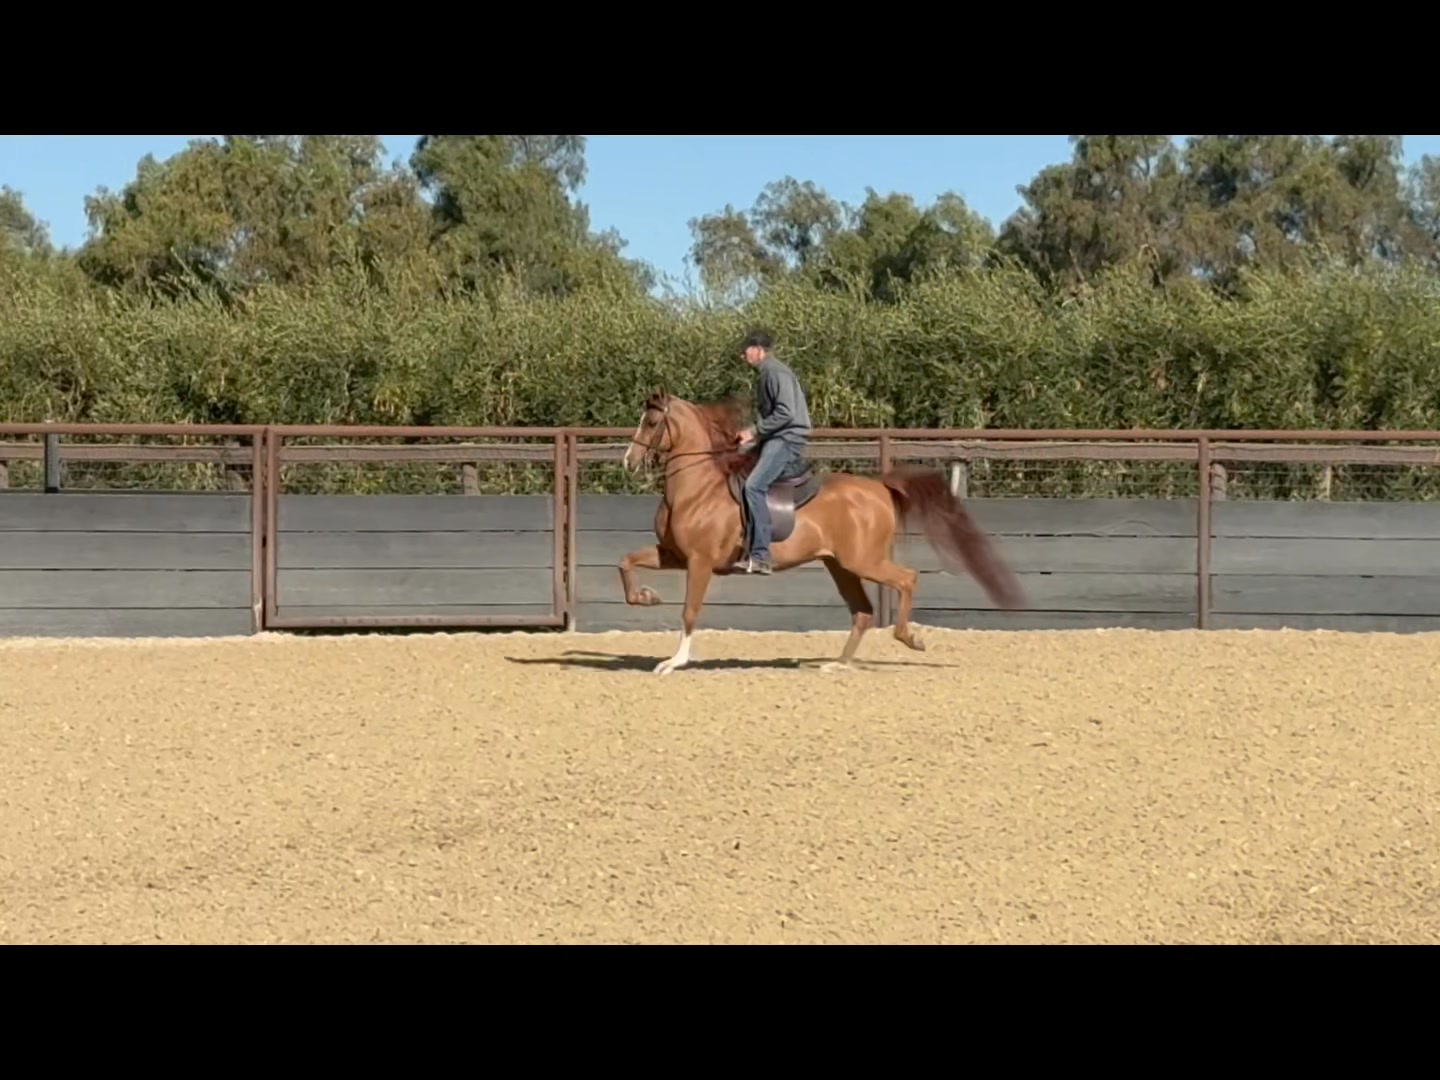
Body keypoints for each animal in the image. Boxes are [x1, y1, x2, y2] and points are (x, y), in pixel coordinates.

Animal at [616, 388, 1027, 674]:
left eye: (650, 423)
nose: (628, 462)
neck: (697, 489)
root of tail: (879, 487)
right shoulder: (674, 555)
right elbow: (625, 562)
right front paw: (646, 597)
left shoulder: (699, 562)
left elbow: (689, 611)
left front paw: (674, 662)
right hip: (840, 566)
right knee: (862, 612)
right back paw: (838, 664)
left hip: (863, 561)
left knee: (906, 579)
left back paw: (908, 638)